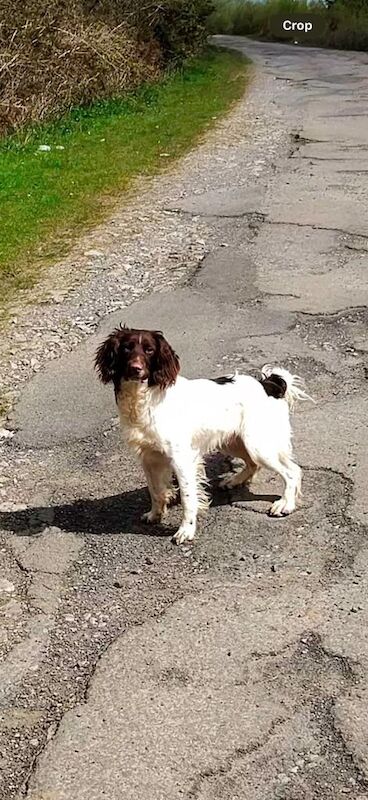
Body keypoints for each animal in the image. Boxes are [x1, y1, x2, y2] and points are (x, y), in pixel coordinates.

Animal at [95, 324, 310, 544]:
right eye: (127, 348)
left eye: (149, 350)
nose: (135, 368)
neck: (144, 397)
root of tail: (268, 384)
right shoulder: (149, 458)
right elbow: (155, 491)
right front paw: (155, 514)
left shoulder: (182, 459)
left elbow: (188, 498)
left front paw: (186, 530)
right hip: (234, 442)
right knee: (253, 464)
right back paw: (233, 481)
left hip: (259, 445)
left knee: (292, 472)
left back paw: (285, 504)